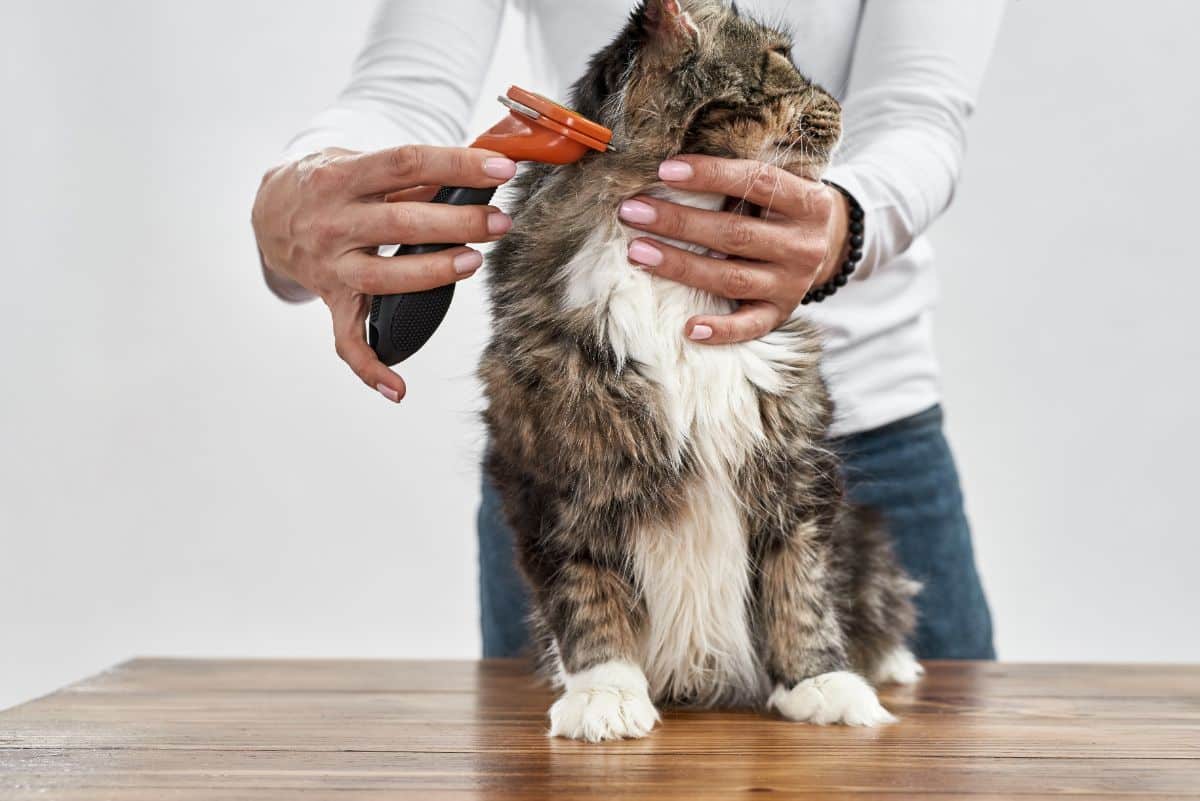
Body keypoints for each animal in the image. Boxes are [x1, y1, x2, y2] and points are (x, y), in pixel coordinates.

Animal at [477, 0, 916, 743]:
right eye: (780, 59)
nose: (838, 101)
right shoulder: (548, 472)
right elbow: (585, 596)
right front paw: (605, 695)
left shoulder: (794, 466)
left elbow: (802, 586)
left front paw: (823, 684)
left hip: (869, 534)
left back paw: (891, 663)